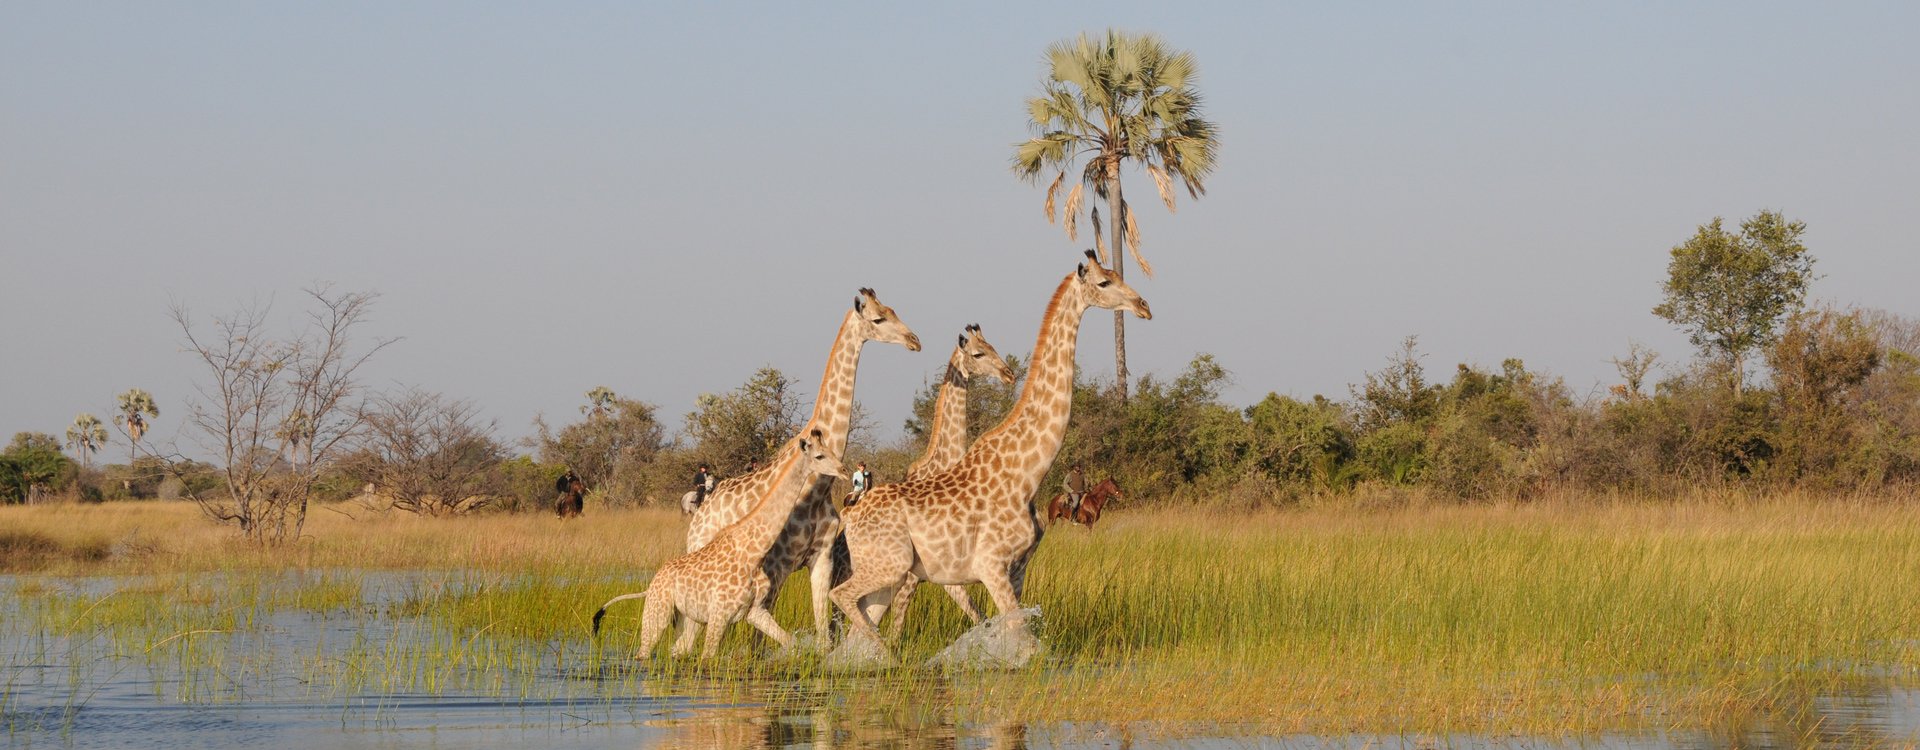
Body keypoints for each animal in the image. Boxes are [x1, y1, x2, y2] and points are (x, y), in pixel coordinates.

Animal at [591, 431, 848, 659]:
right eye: (819, 456)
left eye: (831, 451)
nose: (844, 471)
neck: (755, 551)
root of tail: (654, 581)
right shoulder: (719, 614)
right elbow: (708, 657)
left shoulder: (755, 611)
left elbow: (791, 642)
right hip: (657, 612)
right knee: (644, 653)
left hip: (684, 617)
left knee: (677, 649)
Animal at [683, 285, 921, 636]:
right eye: (878, 318)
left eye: (894, 310)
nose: (914, 340)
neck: (818, 487)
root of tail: (699, 514)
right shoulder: (777, 564)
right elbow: (760, 636)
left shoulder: (822, 557)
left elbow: (823, 629)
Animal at [829, 249, 1152, 656]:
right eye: (1105, 282)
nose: (1143, 306)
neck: (1027, 472)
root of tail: (849, 514)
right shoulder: (990, 566)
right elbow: (1023, 640)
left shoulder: (1017, 568)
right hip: (889, 567)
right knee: (844, 601)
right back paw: (891, 657)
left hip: (888, 574)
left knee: (857, 626)